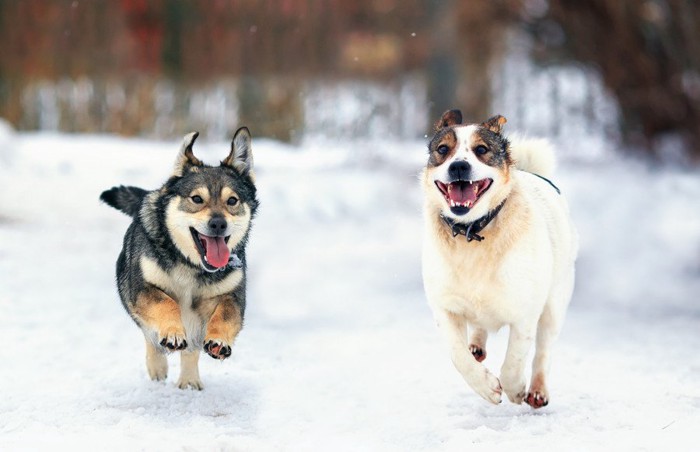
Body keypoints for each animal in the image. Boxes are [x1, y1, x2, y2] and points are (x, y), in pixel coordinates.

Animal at [422, 110, 576, 410]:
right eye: (443, 150)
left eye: (481, 150)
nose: (458, 166)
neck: (472, 233)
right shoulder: (445, 306)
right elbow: (457, 354)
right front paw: (486, 386)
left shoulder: (525, 311)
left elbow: (515, 360)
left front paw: (514, 388)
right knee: (477, 330)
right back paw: (476, 346)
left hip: (555, 304)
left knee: (543, 349)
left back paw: (537, 390)